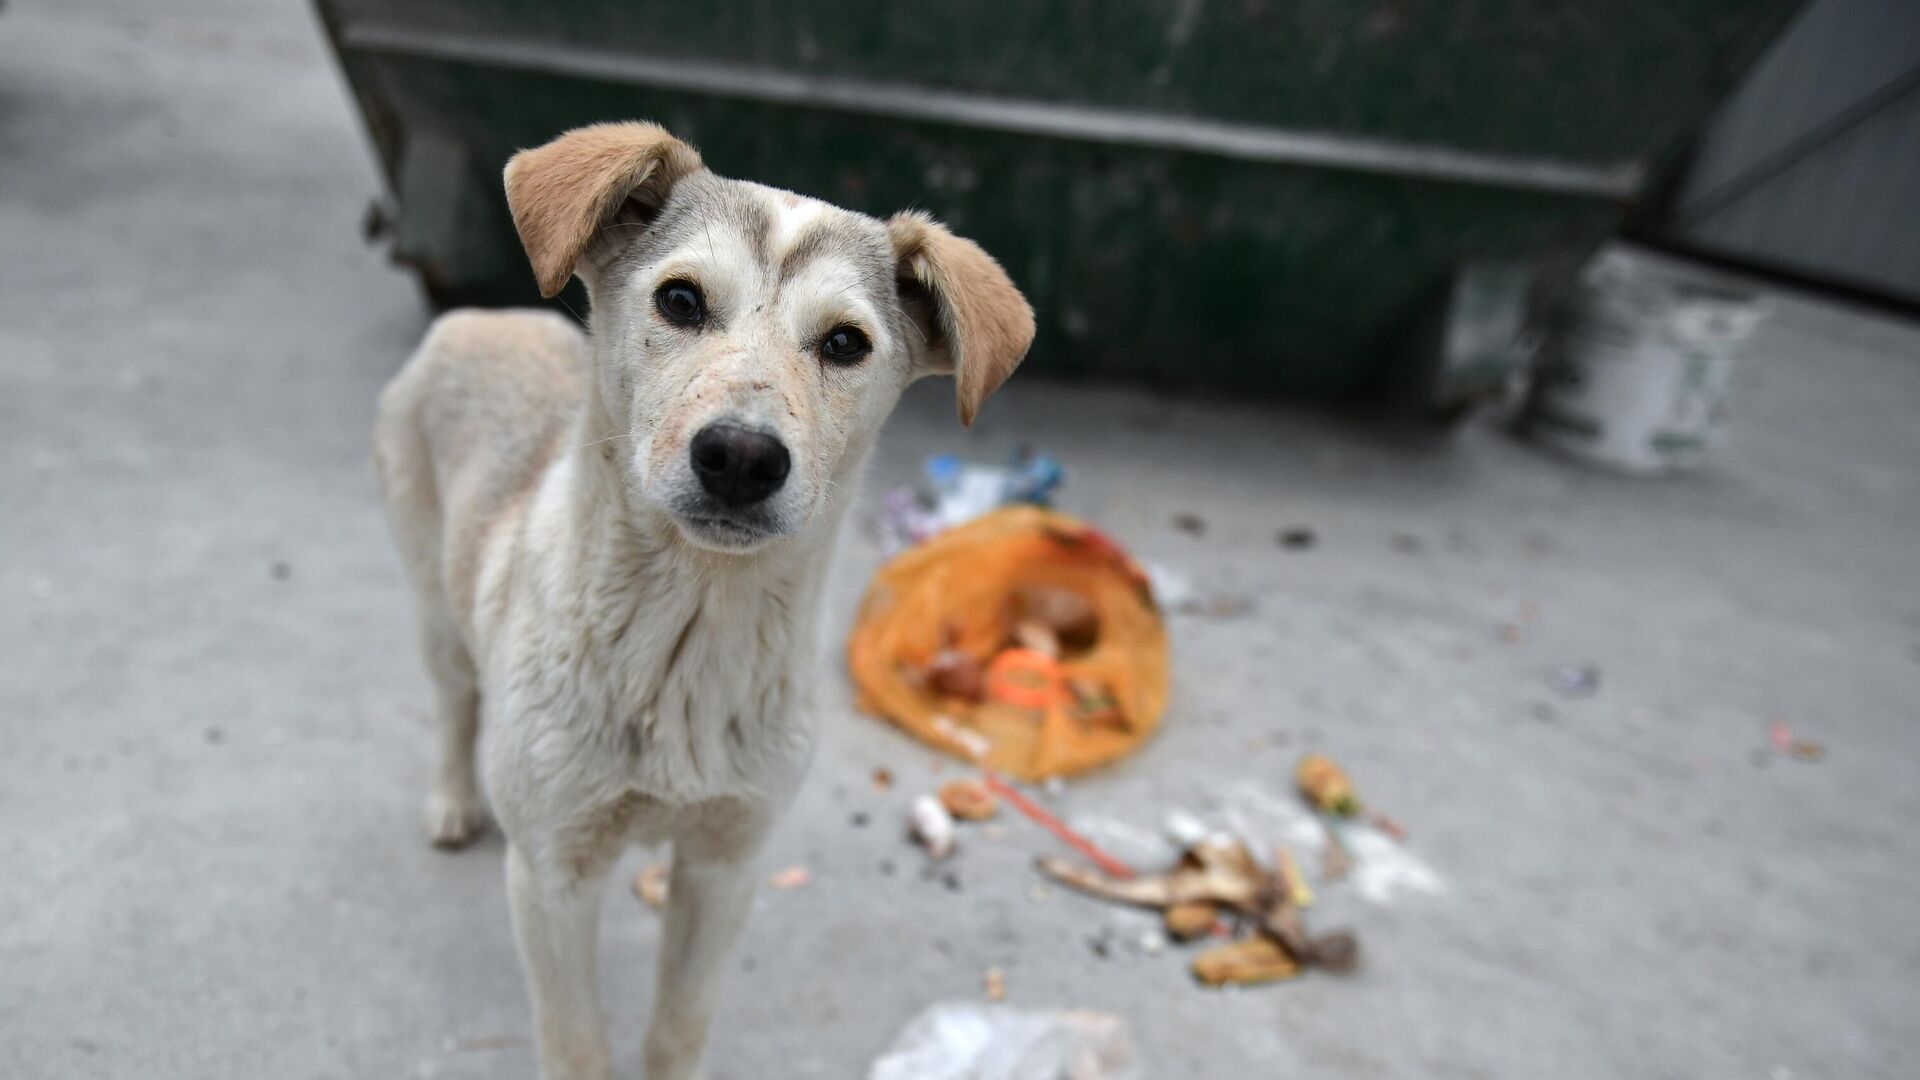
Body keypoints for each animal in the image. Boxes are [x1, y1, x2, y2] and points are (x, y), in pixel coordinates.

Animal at [376, 119, 1036, 1076]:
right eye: (681, 300)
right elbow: (575, 1046)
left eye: (845, 343)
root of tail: (476, 315)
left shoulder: (725, 866)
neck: (685, 638)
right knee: (456, 704)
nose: (741, 458)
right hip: (433, 605)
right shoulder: (553, 875)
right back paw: (456, 801)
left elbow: (678, 1029)